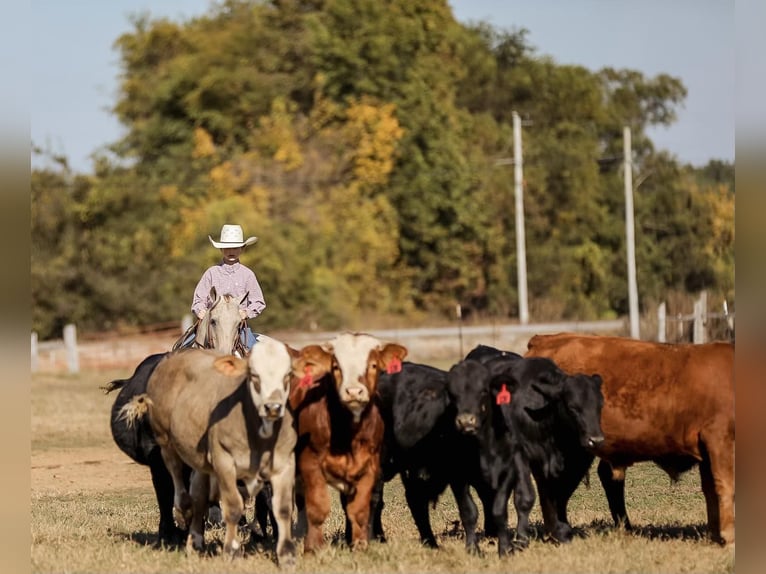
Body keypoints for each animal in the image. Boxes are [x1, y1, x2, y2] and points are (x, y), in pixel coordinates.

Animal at [120, 338, 300, 568]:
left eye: (288, 375)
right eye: (253, 375)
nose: (273, 407)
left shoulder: (283, 465)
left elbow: (282, 508)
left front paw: (286, 554)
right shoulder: (224, 463)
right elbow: (233, 506)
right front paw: (232, 551)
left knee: (198, 495)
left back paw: (196, 539)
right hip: (166, 441)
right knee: (176, 478)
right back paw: (182, 513)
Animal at [290, 332, 408, 552]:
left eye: (373, 365)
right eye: (336, 367)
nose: (353, 392)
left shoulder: (370, 467)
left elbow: (360, 510)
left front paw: (360, 545)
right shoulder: (310, 464)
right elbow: (317, 508)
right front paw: (314, 548)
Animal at [524, 330, 736, 548]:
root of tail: (544, 339)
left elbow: (711, 490)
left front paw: (714, 535)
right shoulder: (720, 440)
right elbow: (726, 486)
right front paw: (729, 538)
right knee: (552, 489)